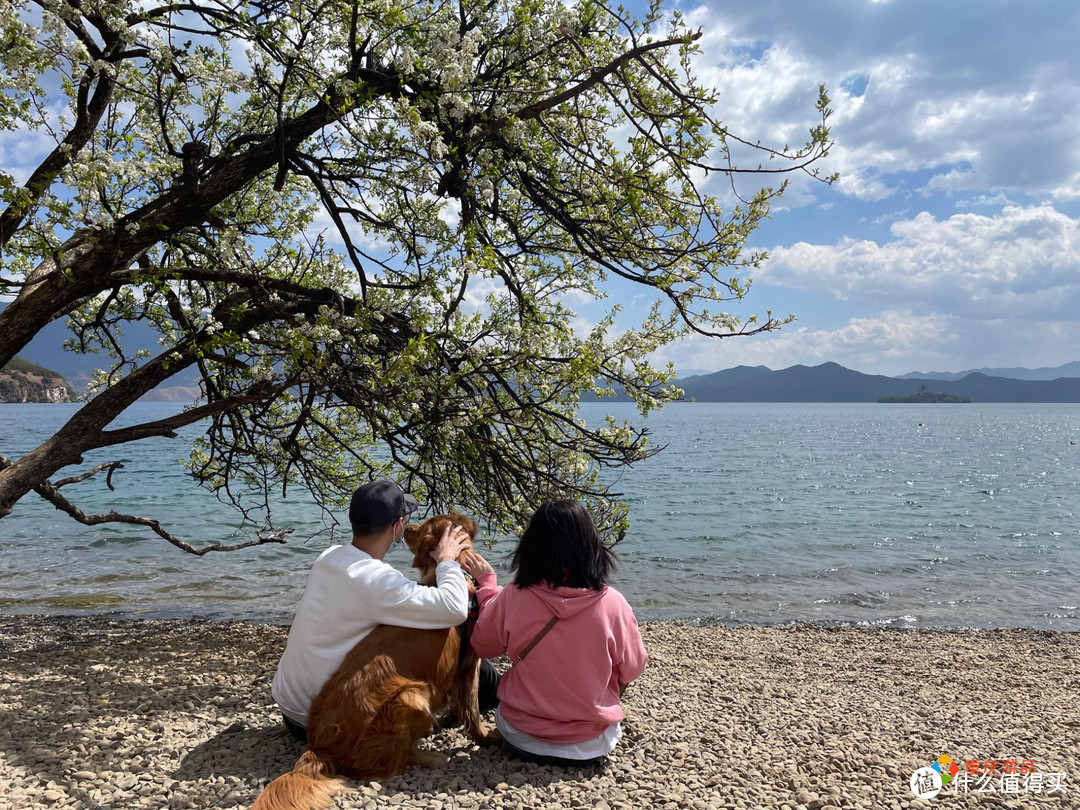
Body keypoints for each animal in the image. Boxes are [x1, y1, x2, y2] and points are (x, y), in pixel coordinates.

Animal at [252, 516, 501, 807]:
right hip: (412, 696)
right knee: (392, 764)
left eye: (423, 525)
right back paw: (432, 757)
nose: (407, 527)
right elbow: (472, 709)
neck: (458, 573)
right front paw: (485, 736)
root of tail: (320, 747)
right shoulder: (470, 666)